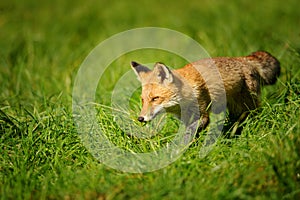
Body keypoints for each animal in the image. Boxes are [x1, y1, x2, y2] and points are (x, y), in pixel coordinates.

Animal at [130, 50, 280, 130]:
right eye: (143, 100)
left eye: (155, 98)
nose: (140, 118)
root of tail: (244, 59)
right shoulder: (186, 118)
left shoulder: (201, 114)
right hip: (236, 108)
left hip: (248, 104)